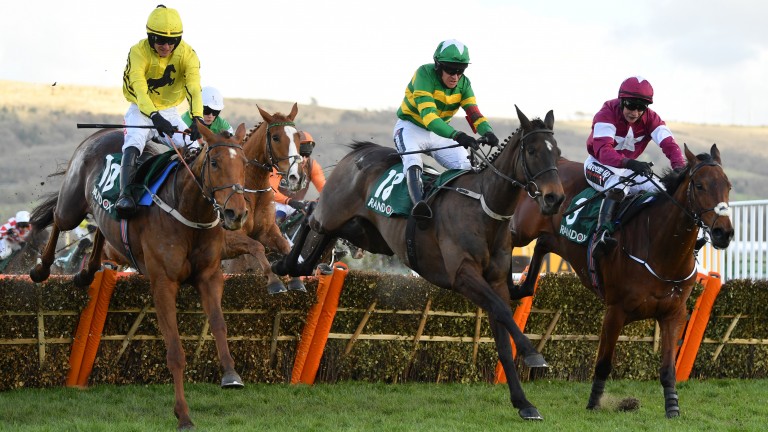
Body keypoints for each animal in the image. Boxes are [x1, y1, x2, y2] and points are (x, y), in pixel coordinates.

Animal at [27, 122, 248, 428]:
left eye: (244, 163)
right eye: (214, 162)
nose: (236, 213)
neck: (188, 211)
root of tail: (101, 133)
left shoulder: (210, 276)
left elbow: (219, 324)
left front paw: (230, 375)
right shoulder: (163, 283)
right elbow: (175, 351)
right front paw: (183, 415)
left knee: (100, 230)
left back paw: (86, 274)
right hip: (71, 205)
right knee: (59, 221)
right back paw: (40, 269)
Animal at [219, 104, 306, 294]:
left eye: (297, 136)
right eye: (275, 137)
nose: (297, 177)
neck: (253, 189)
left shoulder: (266, 231)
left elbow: (285, 246)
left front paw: (295, 280)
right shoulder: (230, 237)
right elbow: (256, 247)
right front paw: (274, 281)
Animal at [274, 106, 564, 420]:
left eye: (557, 151)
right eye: (532, 151)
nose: (555, 198)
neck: (483, 208)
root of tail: (359, 152)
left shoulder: (496, 281)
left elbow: (503, 335)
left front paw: (524, 403)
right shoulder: (463, 275)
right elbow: (502, 310)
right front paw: (532, 354)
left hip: (366, 234)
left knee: (325, 232)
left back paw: (297, 268)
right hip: (334, 212)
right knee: (311, 214)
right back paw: (284, 265)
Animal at [508, 145, 736, 418]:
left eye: (728, 186)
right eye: (700, 186)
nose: (724, 232)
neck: (660, 250)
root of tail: (557, 163)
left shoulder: (674, 313)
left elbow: (668, 369)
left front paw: (672, 408)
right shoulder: (615, 311)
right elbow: (604, 364)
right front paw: (594, 403)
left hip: (554, 238)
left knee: (541, 244)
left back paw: (522, 287)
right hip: (523, 228)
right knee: (505, 236)